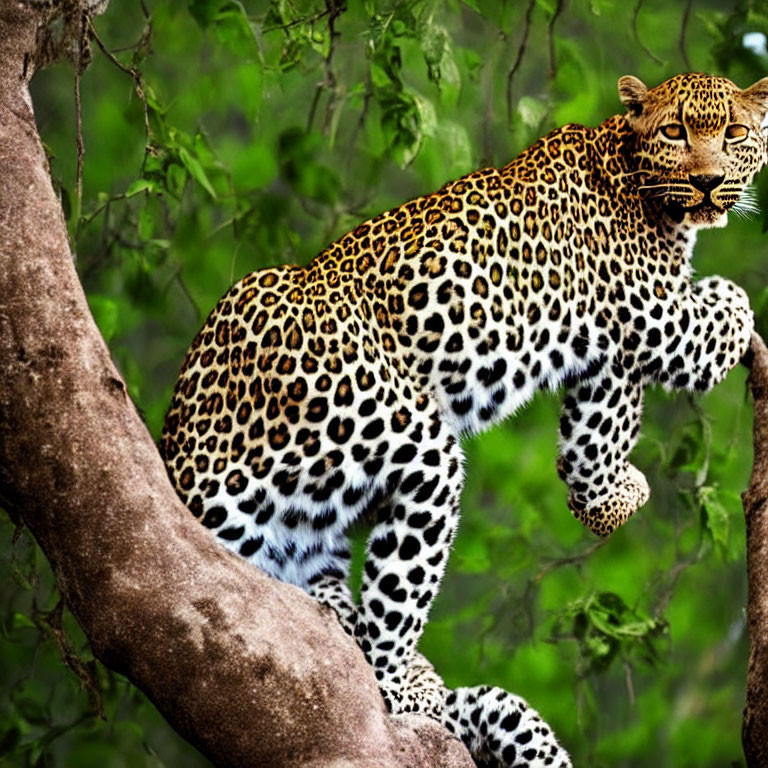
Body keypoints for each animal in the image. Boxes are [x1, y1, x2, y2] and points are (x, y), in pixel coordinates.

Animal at [159, 73, 764, 768]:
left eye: (734, 134)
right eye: (675, 132)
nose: (708, 183)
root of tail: (179, 454)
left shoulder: (611, 337)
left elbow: (593, 428)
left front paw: (602, 497)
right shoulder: (647, 312)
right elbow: (704, 326)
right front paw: (734, 302)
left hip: (309, 542)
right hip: (389, 428)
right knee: (389, 618)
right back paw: (402, 685)